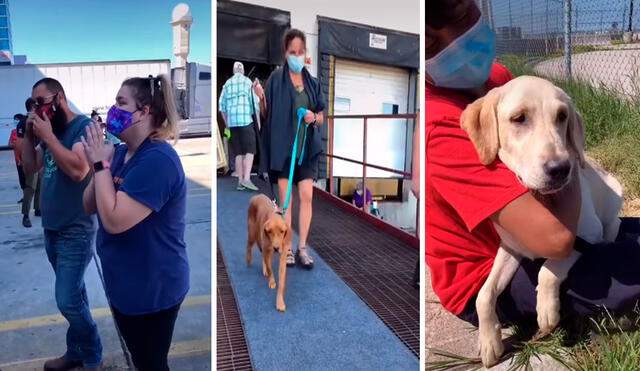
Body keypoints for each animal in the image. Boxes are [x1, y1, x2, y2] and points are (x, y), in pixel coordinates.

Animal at [458, 76, 624, 370]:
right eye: (519, 118)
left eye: (562, 116)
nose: (561, 169)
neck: (543, 201)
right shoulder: (511, 249)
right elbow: (484, 294)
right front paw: (489, 341)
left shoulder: (585, 236)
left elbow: (549, 268)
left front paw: (547, 309)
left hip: (612, 211)